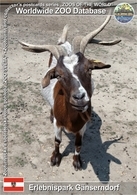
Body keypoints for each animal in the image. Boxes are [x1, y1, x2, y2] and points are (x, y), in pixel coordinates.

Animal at [19, 11, 121, 171]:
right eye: (59, 75)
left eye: (89, 68)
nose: (79, 97)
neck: (71, 120)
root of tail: (64, 42)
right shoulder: (57, 124)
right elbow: (57, 140)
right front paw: (55, 158)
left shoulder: (82, 126)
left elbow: (78, 144)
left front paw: (77, 161)